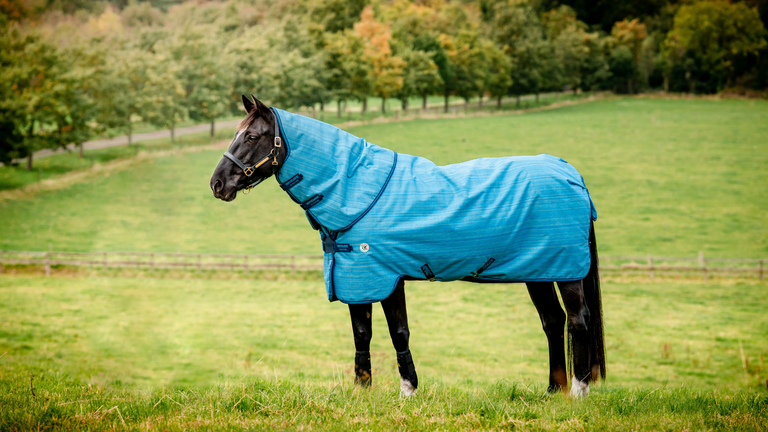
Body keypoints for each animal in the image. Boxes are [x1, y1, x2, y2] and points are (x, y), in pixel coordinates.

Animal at [210, 95, 605, 398]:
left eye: (252, 135)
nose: (217, 184)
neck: (356, 191)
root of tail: (571, 174)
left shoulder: (386, 276)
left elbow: (397, 331)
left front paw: (408, 390)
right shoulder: (356, 278)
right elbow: (362, 333)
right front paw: (362, 392)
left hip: (567, 271)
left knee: (578, 321)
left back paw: (577, 392)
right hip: (539, 270)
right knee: (552, 322)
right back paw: (552, 392)